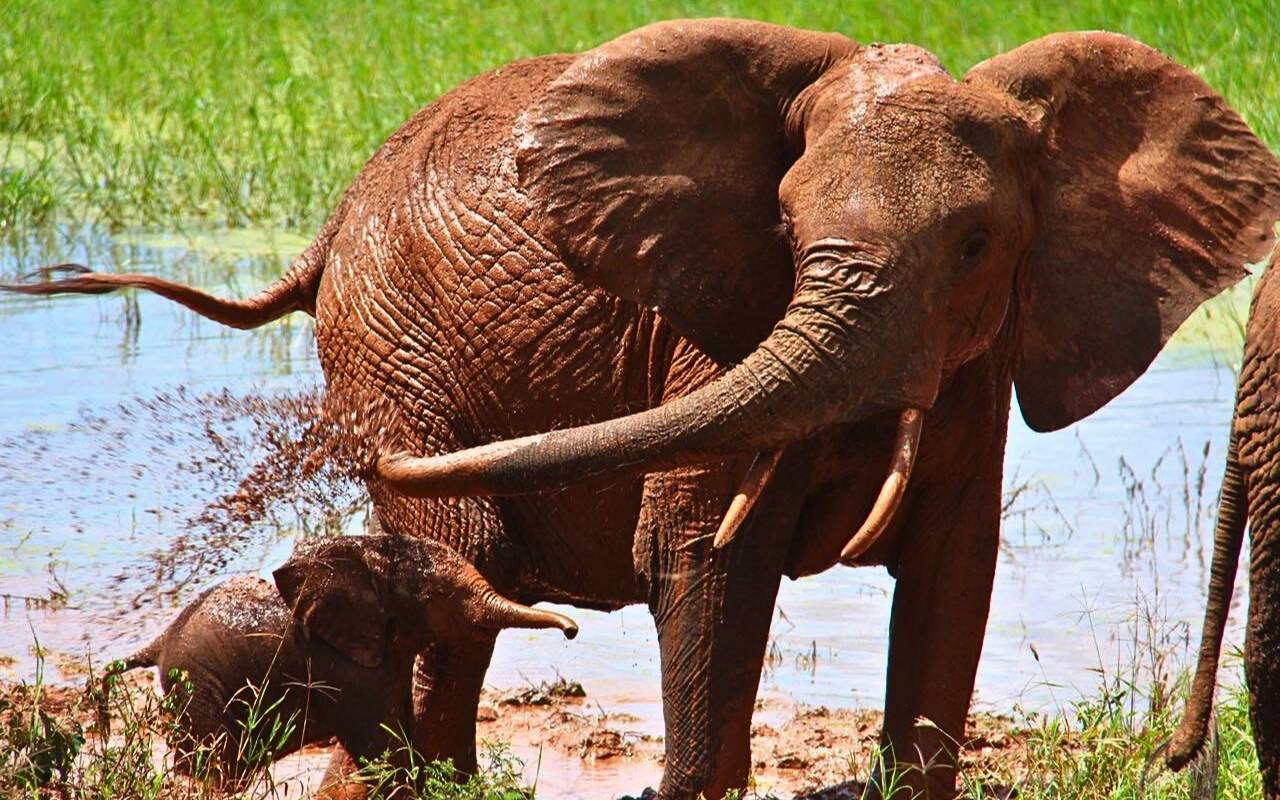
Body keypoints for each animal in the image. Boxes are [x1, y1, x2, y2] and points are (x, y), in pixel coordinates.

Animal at [104, 535, 575, 787]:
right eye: (437, 598)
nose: (572, 631)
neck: (368, 559)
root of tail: (159, 639)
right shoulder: (340, 666)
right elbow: (386, 750)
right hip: (195, 683)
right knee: (214, 767)